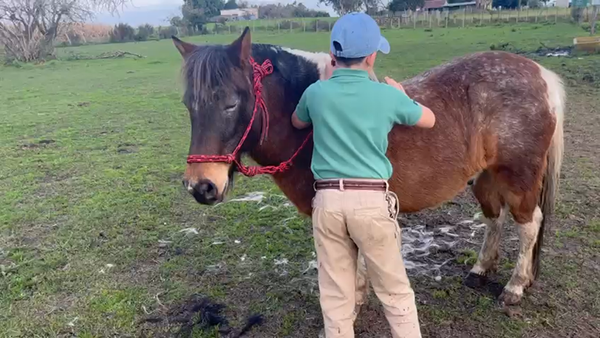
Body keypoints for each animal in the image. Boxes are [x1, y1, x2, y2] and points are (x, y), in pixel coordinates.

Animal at [171, 29, 564, 308]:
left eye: (231, 103)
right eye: (189, 104)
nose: (201, 186)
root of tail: (540, 74)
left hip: (519, 177)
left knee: (529, 225)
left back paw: (514, 286)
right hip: (486, 178)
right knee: (494, 217)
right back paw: (480, 270)